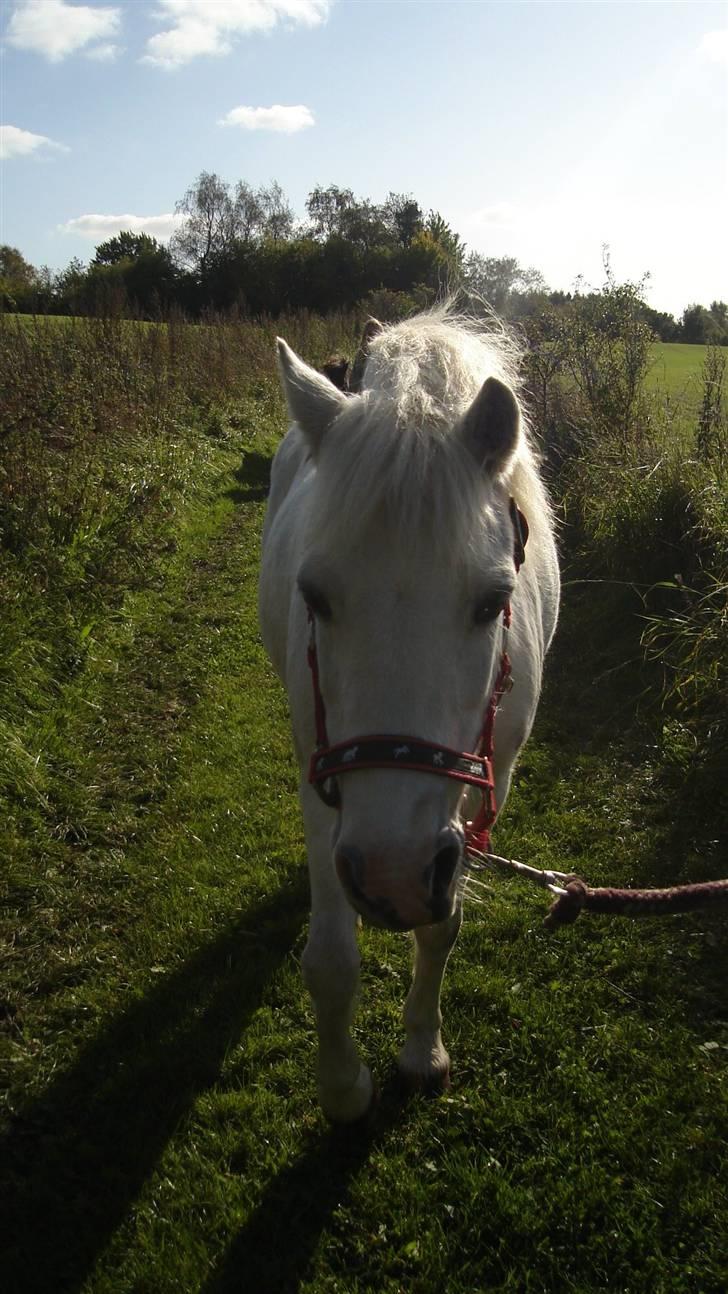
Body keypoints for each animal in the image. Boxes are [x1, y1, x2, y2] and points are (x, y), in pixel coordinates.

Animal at [258, 305, 561, 1123]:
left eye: (493, 603)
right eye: (315, 596)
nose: (391, 877)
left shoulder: (489, 777)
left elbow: (442, 923)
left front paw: (423, 1051)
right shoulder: (322, 768)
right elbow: (332, 961)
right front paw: (343, 1087)